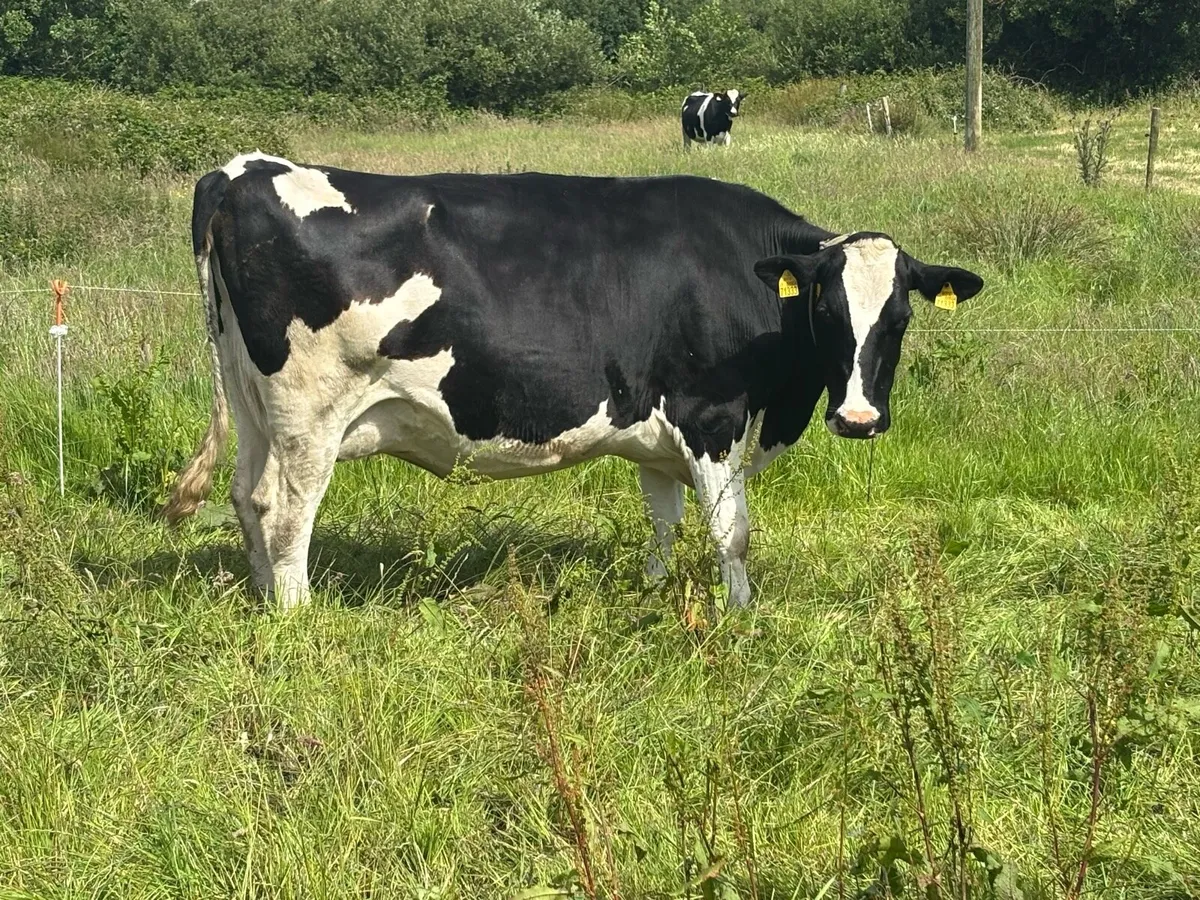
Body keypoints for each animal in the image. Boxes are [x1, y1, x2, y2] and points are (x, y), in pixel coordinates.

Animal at [164, 152, 984, 611]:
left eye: (899, 319)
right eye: (825, 308)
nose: (858, 418)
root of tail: (241, 170)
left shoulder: (657, 430)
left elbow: (664, 521)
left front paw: (653, 592)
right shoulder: (710, 414)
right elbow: (733, 531)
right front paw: (742, 615)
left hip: (252, 401)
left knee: (247, 495)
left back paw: (262, 599)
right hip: (309, 413)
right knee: (286, 512)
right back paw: (299, 618)